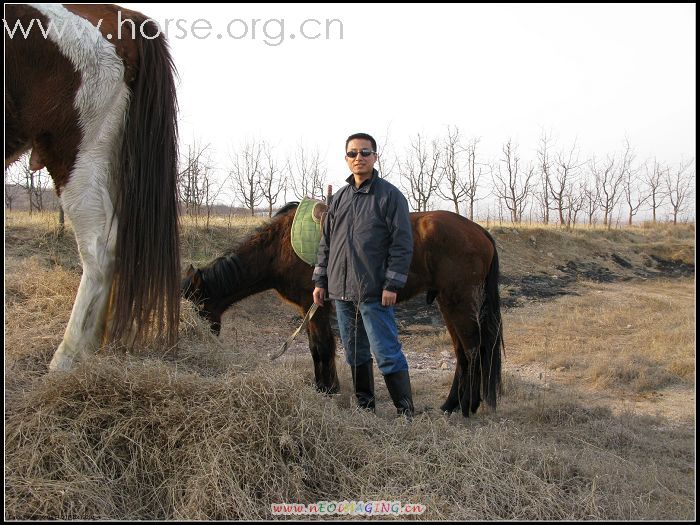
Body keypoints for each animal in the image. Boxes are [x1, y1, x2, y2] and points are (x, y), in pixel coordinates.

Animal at [183, 203, 506, 416]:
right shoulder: (310, 308)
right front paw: (325, 388)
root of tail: (480, 232)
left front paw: (326, 390)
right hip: (446, 302)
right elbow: (318, 347)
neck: (281, 246)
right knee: (462, 352)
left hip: (458, 301)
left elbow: (322, 348)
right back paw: (451, 405)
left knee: (474, 349)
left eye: (195, 308)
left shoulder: (313, 304)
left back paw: (467, 407)